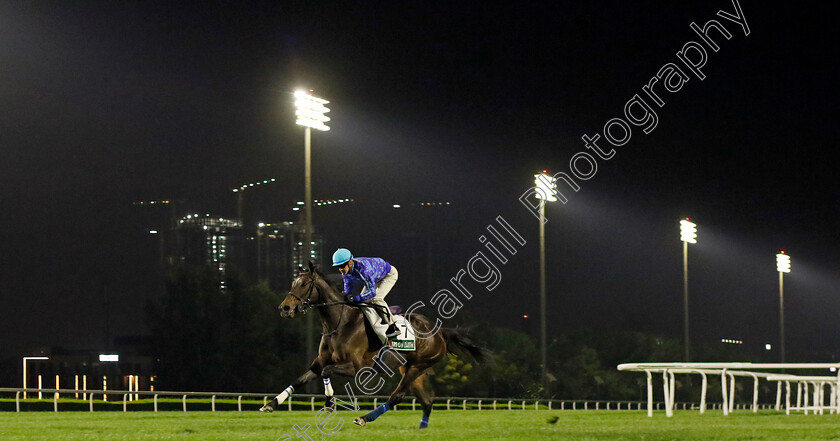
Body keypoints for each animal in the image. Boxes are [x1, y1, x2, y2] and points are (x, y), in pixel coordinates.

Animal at [262, 262, 486, 426]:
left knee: (397, 396)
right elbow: (301, 378)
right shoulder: (319, 361)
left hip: (418, 365)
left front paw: (329, 403)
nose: (284, 308)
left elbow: (326, 371)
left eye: (303, 284)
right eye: (293, 283)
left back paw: (364, 418)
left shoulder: (360, 368)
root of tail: (439, 332)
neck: (340, 323)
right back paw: (422, 427)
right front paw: (271, 404)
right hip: (409, 368)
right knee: (426, 401)